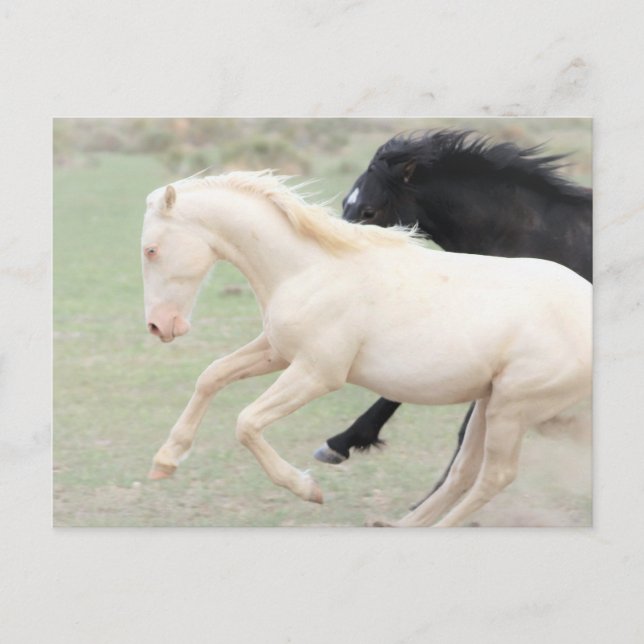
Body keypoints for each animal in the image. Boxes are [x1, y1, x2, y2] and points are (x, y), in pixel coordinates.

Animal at [141, 170, 591, 527]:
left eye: (151, 249)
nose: (158, 326)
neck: (309, 268)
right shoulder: (279, 352)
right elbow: (212, 376)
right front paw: (166, 460)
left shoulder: (317, 374)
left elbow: (247, 422)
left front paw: (307, 488)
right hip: (489, 402)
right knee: (464, 472)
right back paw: (403, 525)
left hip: (511, 410)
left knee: (493, 477)